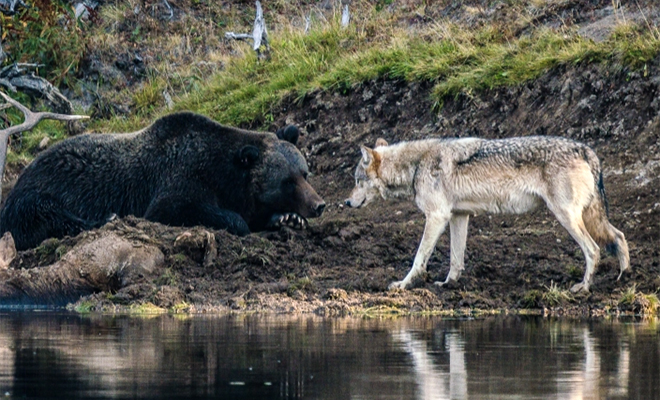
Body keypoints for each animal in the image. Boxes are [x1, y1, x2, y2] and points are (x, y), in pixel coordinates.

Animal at [0, 112, 324, 250]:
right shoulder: (179, 178)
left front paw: (287, 218)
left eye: (304, 173)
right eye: (287, 180)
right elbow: (177, 208)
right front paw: (240, 222)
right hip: (37, 193)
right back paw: (107, 218)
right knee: (49, 216)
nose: (318, 205)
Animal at [346, 136, 628, 292]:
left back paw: (584, 288)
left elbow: (419, 258)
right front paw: (449, 285)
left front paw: (403, 285)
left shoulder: (436, 216)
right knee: (619, 236)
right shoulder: (458, 216)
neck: (416, 166)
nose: (347, 201)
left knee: (594, 250)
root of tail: (586, 150)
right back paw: (624, 278)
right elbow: (455, 259)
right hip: (586, 217)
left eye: (358, 181)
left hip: (566, 217)